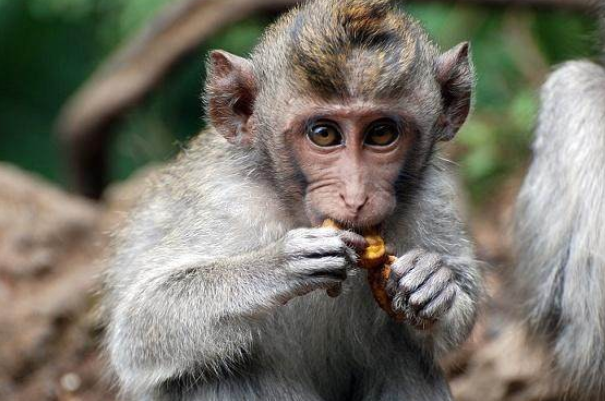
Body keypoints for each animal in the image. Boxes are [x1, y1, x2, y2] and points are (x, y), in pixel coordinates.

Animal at [102, 1, 482, 398]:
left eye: (381, 133)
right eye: (324, 134)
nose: (356, 196)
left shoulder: (430, 201)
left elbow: (456, 319)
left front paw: (434, 281)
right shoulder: (229, 202)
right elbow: (139, 322)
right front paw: (281, 264)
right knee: (214, 373)